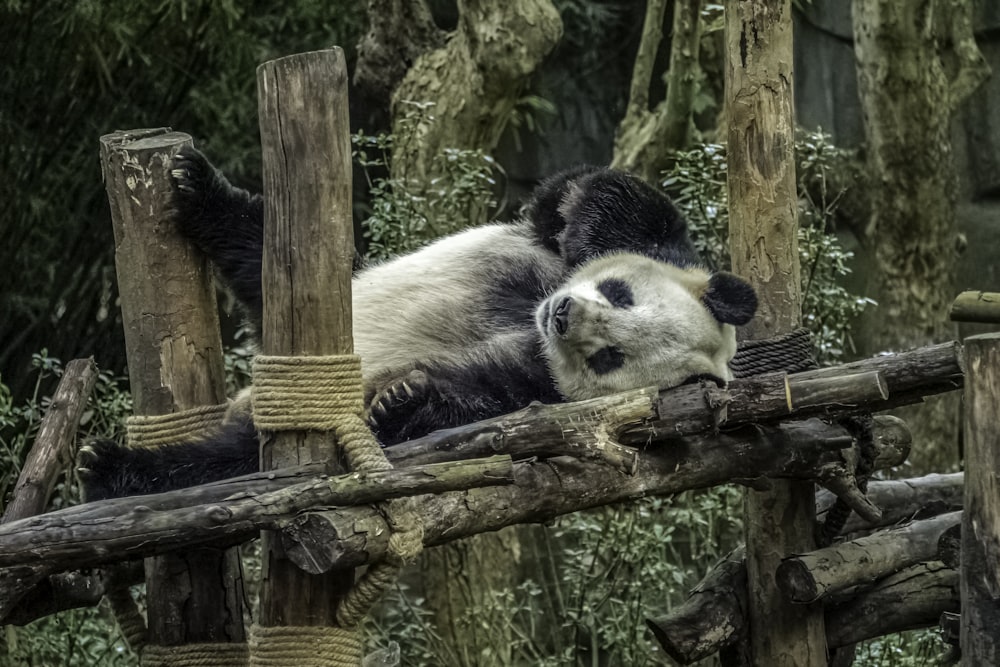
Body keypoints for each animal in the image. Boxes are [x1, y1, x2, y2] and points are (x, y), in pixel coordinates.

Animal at [80, 147, 756, 500]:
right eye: (619, 294)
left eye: (609, 357)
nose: (563, 316)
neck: (529, 320)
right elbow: (592, 196)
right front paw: (582, 234)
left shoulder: (536, 389)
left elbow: (472, 407)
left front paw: (400, 398)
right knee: (263, 255)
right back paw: (197, 187)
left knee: (222, 461)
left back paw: (109, 468)